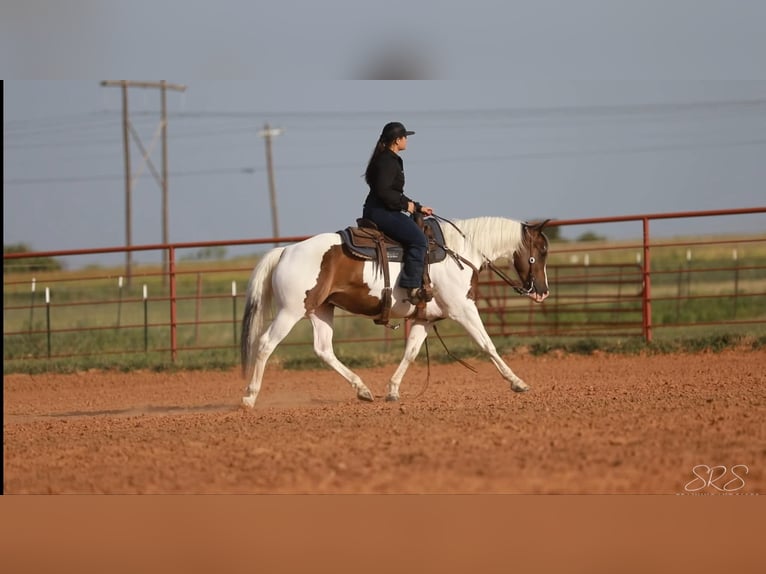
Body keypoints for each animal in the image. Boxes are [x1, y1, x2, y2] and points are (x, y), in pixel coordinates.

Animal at [240, 215, 551, 407]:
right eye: (543, 250)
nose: (543, 291)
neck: (459, 252)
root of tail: (285, 250)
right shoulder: (463, 309)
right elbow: (487, 344)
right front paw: (517, 382)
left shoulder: (426, 318)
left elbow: (410, 353)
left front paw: (392, 390)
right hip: (290, 311)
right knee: (265, 344)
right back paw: (249, 397)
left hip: (320, 310)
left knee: (324, 349)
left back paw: (363, 390)